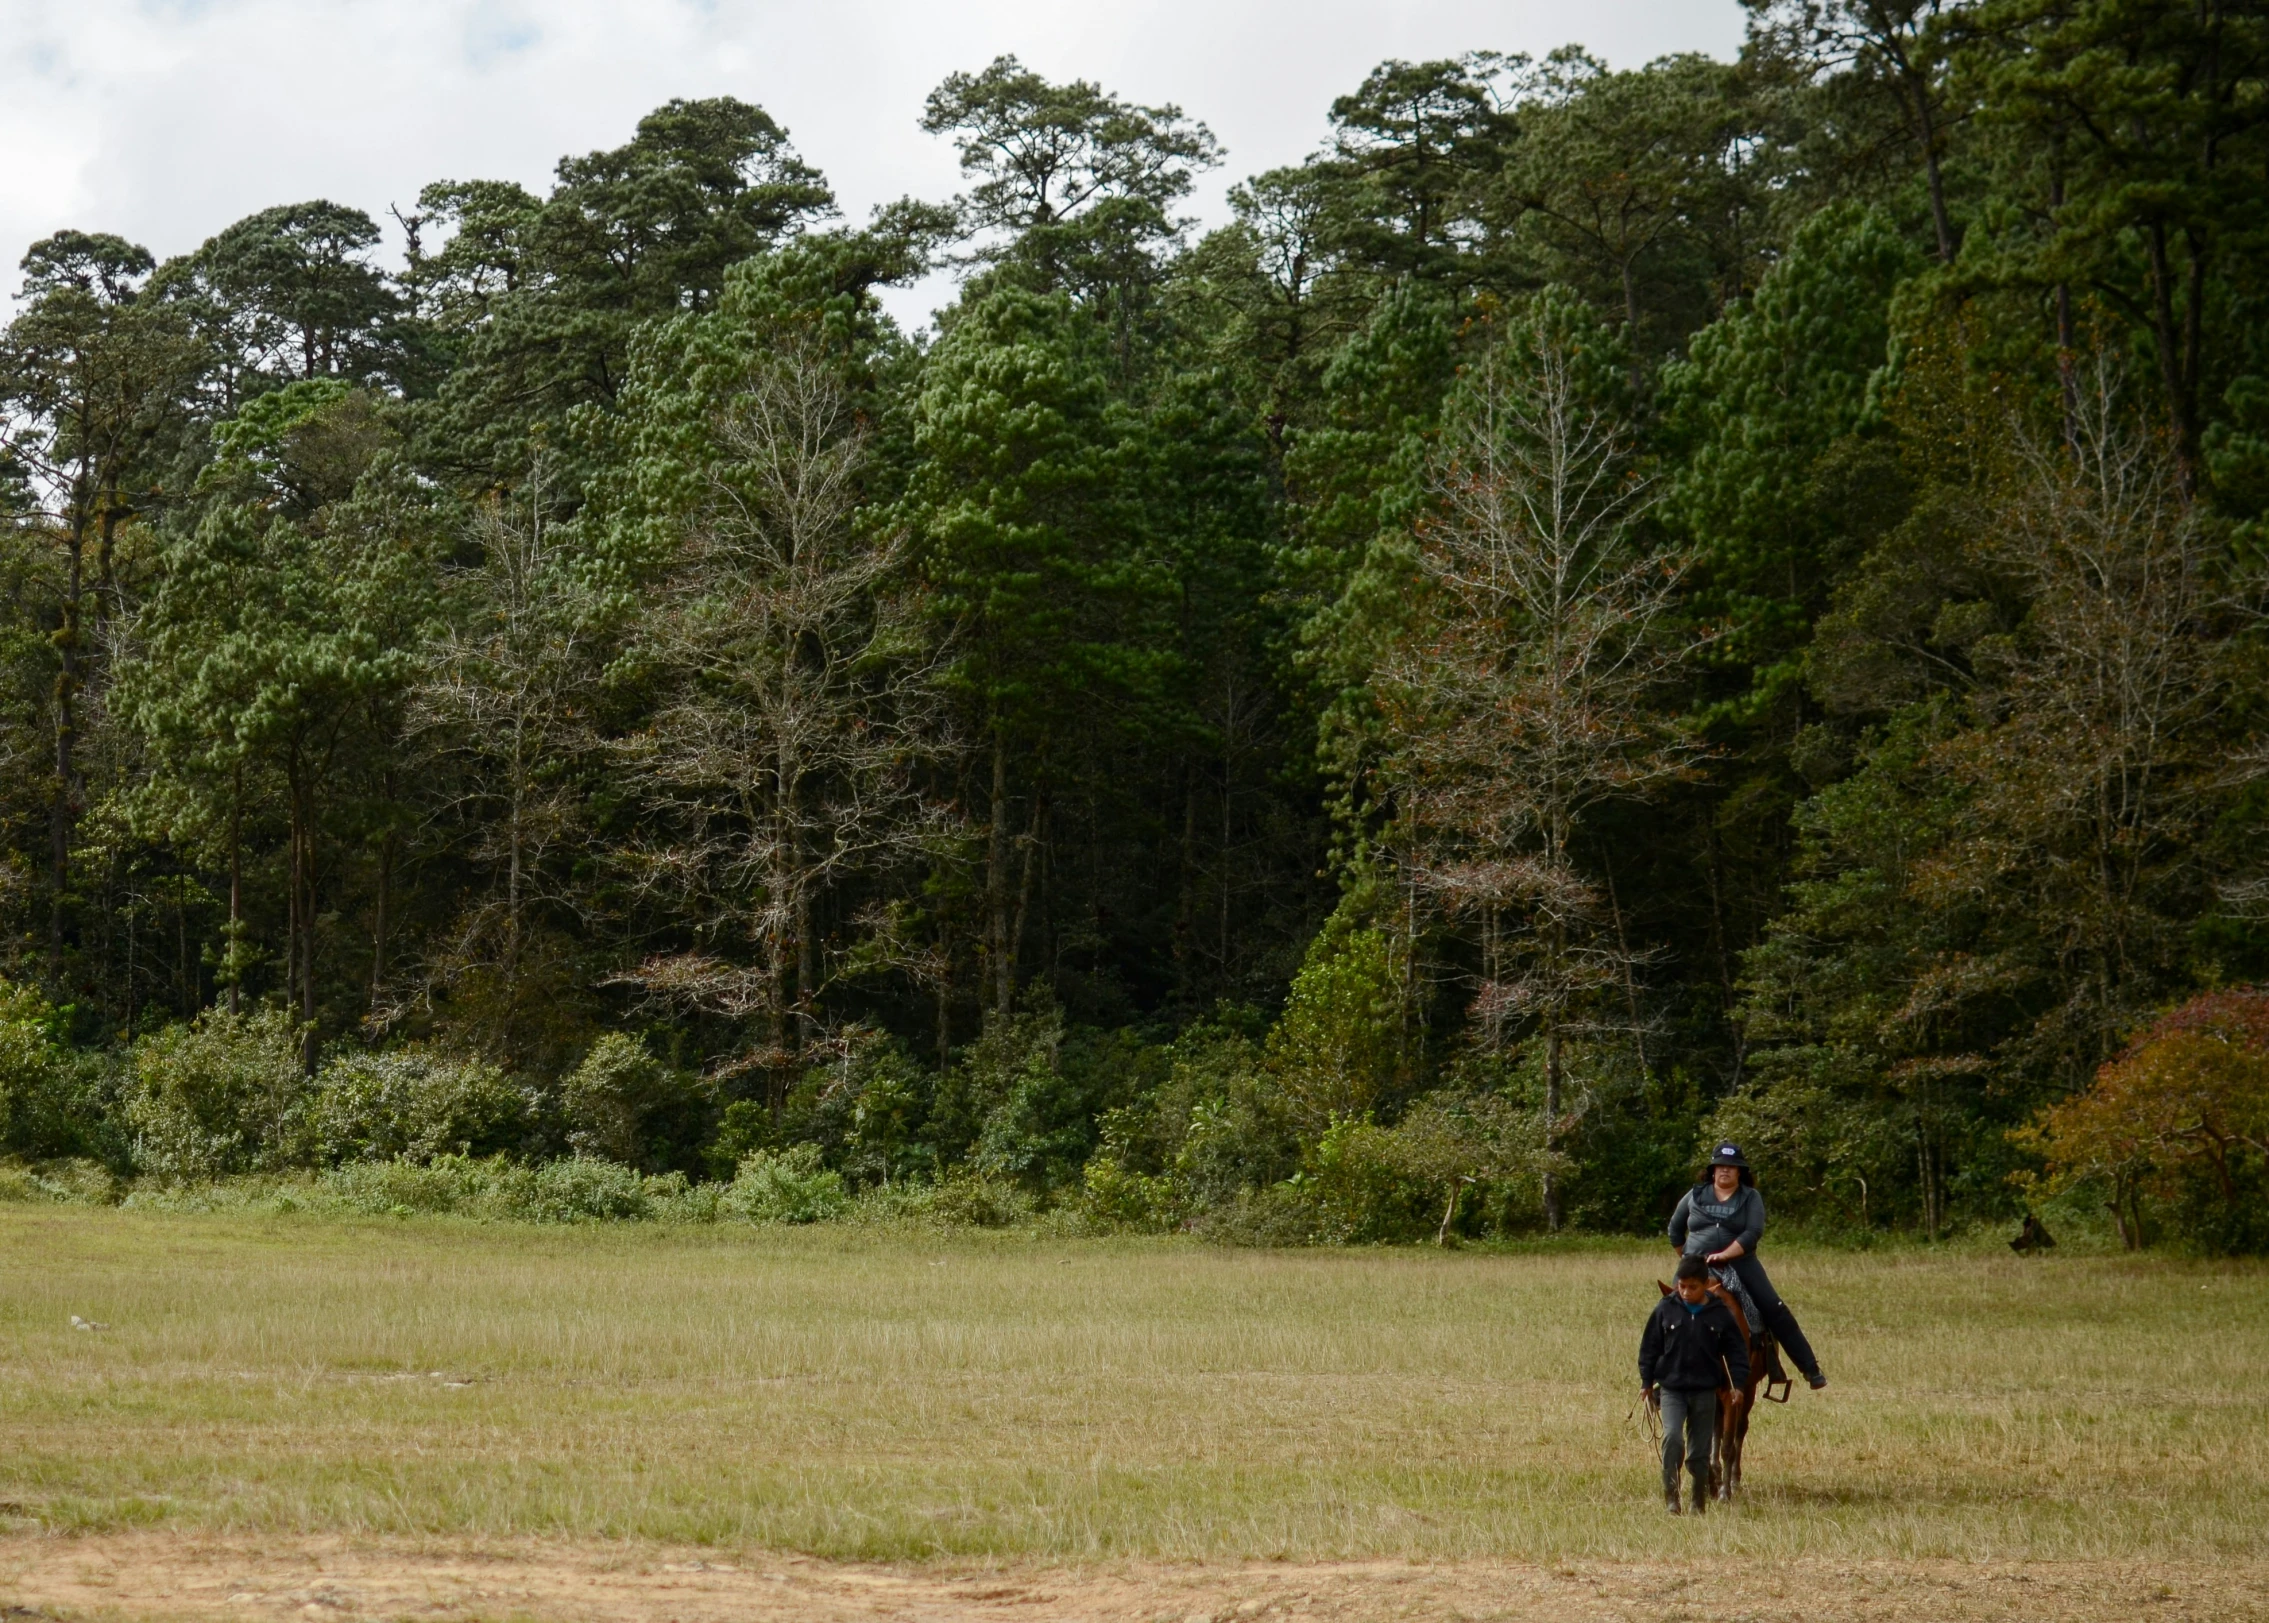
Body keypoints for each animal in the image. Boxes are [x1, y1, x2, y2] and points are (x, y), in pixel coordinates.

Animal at [1669, 1280, 1787, 1507]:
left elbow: (1727, 1445)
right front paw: (1710, 1486)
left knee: (1739, 1431)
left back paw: (1733, 1481)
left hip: (1747, 1392)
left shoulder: (1732, 1396)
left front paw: (1723, 1492)